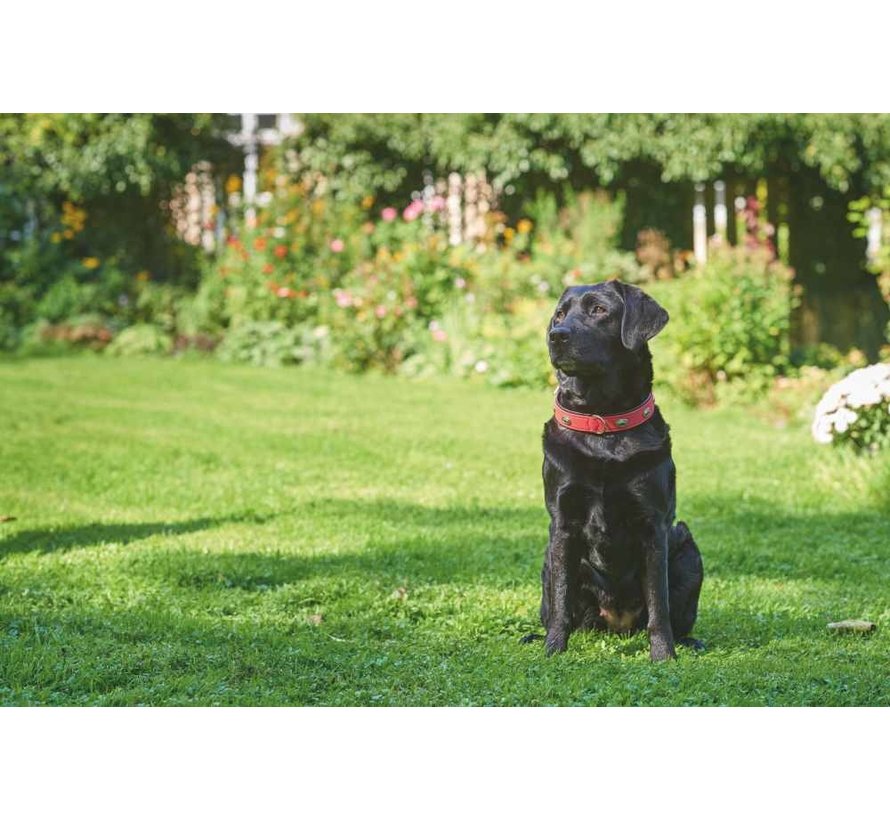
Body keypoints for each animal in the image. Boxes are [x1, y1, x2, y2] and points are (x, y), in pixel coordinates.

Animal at [532, 282, 696, 660]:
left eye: (599, 311)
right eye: (560, 314)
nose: (556, 335)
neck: (603, 422)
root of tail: (617, 623)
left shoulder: (654, 525)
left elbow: (659, 604)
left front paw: (663, 654)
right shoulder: (562, 523)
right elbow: (561, 600)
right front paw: (553, 649)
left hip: (686, 546)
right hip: (548, 560)